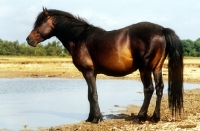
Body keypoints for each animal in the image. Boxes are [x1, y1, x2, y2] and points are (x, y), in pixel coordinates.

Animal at [26, 7, 183, 123]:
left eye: (39, 23)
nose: (29, 39)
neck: (79, 38)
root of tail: (162, 29)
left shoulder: (88, 72)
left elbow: (93, 94)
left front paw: (96, 118)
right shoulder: (92, 73)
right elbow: (89, 94)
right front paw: (90, 118)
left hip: (144, 69)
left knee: (149, 89)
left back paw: (140, 117)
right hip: (157, 68)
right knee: (159, 88)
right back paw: (155, 117)